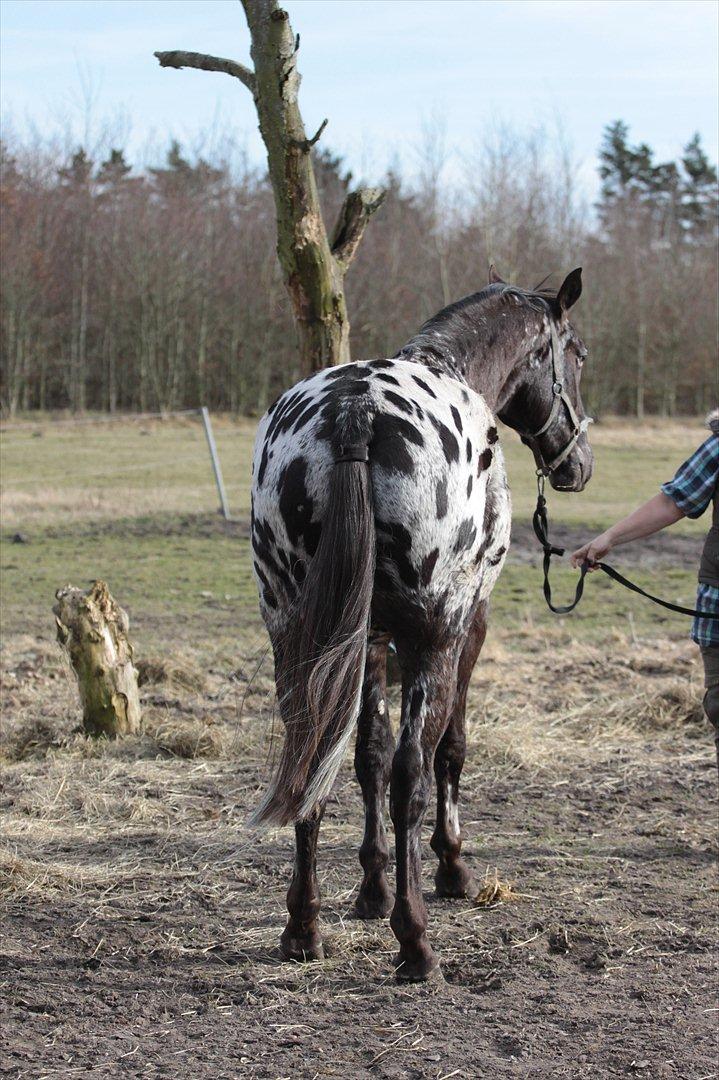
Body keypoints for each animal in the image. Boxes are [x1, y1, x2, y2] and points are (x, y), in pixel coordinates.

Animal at [249, 265, 591, 984]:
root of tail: (354, 412)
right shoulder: (466, 626)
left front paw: (371, 890)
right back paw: (415, 943)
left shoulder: (370, 640)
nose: (578, 464)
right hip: (433, 636)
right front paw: (450, 869)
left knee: (312, 755)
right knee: (413, 769)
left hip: (296, 630)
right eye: (575, 355)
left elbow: (365, 757)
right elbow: (445, 752)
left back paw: (303, 928)